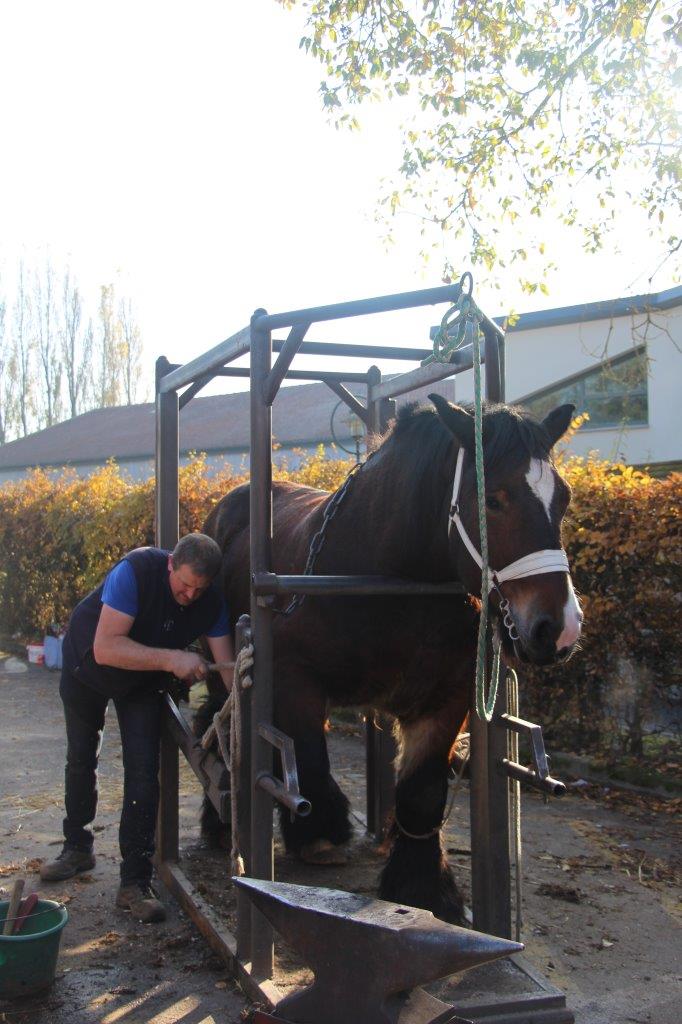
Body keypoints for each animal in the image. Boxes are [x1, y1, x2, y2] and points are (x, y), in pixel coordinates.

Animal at [200, 395, 577, 925]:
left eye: (563, 498)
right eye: (493, 499)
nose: (559, 628)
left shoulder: (446, 698)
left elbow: (421, 794)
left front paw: (423, 887)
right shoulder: (295, 679)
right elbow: (306, 755)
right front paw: (317, 832)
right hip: (225, 666)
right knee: (217, 722)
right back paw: (220, 821)